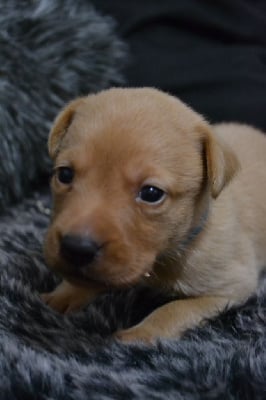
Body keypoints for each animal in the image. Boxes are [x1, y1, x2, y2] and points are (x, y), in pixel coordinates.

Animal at [41, 89, 266, 342]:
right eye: (65, 174)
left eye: (151, 193)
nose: (76, 248)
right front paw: (64, 294)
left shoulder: (230, 287)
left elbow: (174, 310)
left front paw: (138, 335)